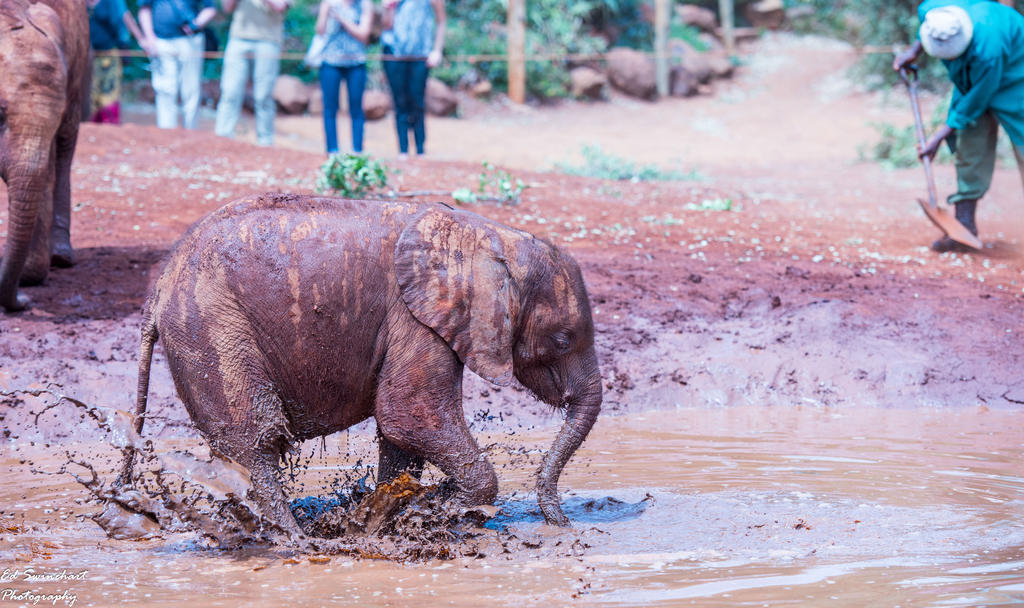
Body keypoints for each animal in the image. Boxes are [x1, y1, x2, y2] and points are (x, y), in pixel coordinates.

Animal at [119, 193, 603, 535]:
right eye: (562, 339)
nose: (562, 524)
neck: (490, 235)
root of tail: (159, 287)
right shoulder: (414, 318)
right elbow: (408, 415)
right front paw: (448, 510)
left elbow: (402, 438)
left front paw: (401, 512)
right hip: (211, 325)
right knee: (255, 440)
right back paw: (294, 540)